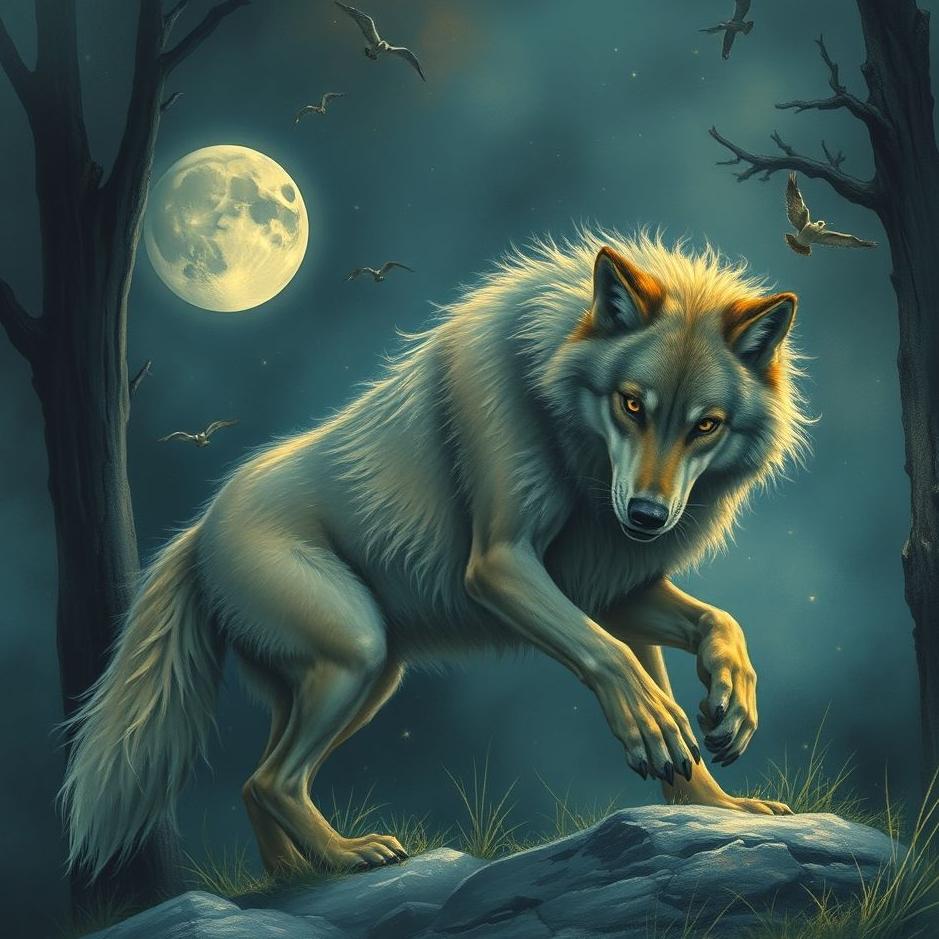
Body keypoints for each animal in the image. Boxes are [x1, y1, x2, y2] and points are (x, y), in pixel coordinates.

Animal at [62, 229, 808, 878]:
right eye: (631, 404)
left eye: (705, 424)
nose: (647, 517)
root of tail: (196, 531)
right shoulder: (502, 564)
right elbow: (616, 659)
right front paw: (658, 730)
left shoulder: (615, 590)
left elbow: (716, 626)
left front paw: (721, 781)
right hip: (358, 653)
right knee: (274, 780)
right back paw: (347, 856)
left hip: (363, 678)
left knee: (252, 780)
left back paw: (290, 877)